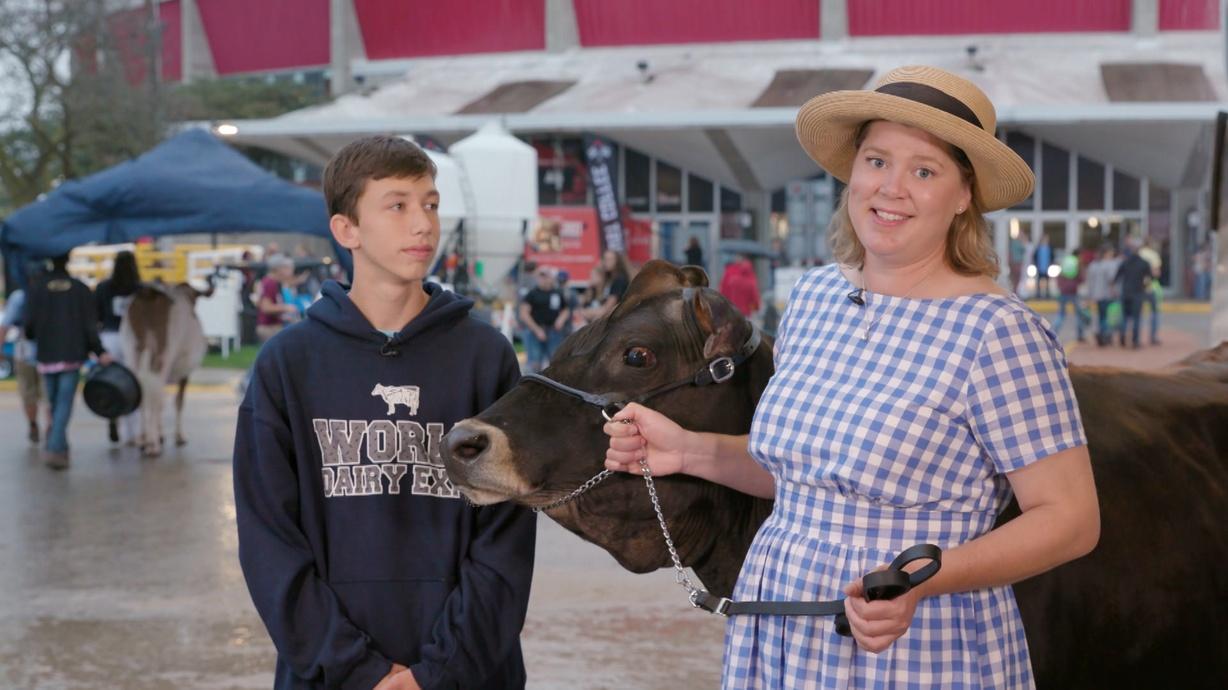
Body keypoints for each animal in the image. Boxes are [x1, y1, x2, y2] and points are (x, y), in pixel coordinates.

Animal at [120, 276, 212, 454]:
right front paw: (179, 436)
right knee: (155, 392)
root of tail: (149, 293)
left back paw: (143, 438)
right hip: (165, 351)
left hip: (131, 350)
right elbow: (178, 402)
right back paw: (152, 444)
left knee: (143, 389)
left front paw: (161, 434)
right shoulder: (185, 372)